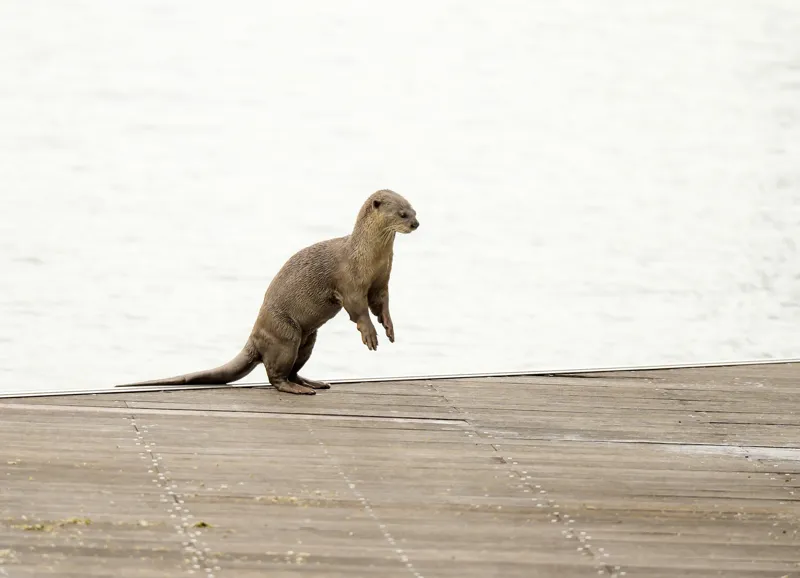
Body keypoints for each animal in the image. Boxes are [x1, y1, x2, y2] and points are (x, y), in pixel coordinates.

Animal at [118, 189, 419, 395]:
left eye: (414, 210)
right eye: (402, 214)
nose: (416, 224)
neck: (367, 257)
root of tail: (255, 337)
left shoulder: (381, 281)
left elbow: (381, 303)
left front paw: (389, 327)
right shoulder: (349, 282)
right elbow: (358, 309)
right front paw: (370, 334)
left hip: (307, 339)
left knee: (293, 368)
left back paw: (312, 382)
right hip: (286, 335)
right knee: (274, 375)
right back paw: (297, 388)